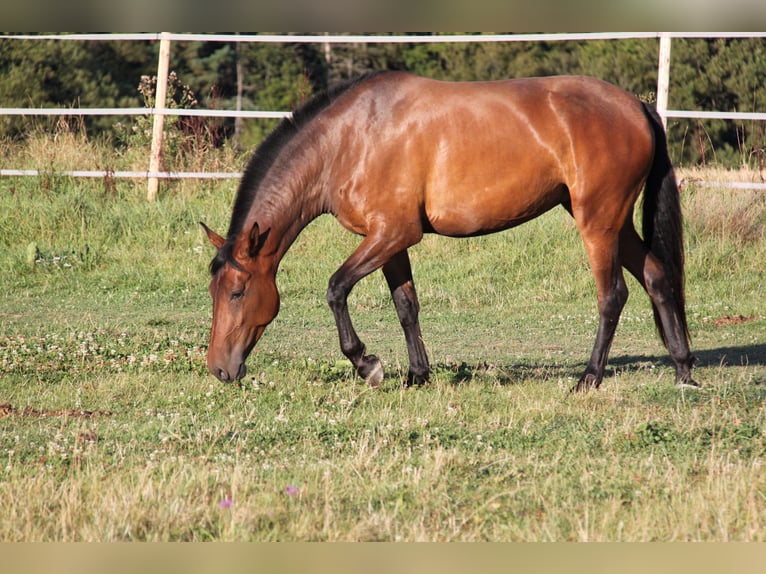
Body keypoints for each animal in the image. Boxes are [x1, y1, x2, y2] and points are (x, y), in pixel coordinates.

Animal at [201, 68, 700, 392]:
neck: (351, 139)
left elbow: (336, 288)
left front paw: (368, 364)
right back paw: (683, 370)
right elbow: (406, 306)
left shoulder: (392, 235)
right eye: (213, 292)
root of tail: (637, 106)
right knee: (657, 277)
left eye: (238, 292)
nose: (219, 369)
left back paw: (590, 377)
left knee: (612, 296)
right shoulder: (391, 241)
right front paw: (417, 375)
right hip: (614, 222)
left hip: (598, 222)